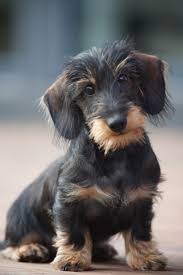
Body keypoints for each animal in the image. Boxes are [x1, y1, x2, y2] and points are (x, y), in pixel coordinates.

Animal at [0, 40, 172, 272]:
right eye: (88, 90)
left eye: (123, 78)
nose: (117, 123)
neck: (114, 155)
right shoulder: (69, 201)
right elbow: (75, 233)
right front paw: (72, 258)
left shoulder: (142, 199)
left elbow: (140, 232)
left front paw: (145, 258)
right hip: (22, 219)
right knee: (8, 245)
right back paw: (29, 249)